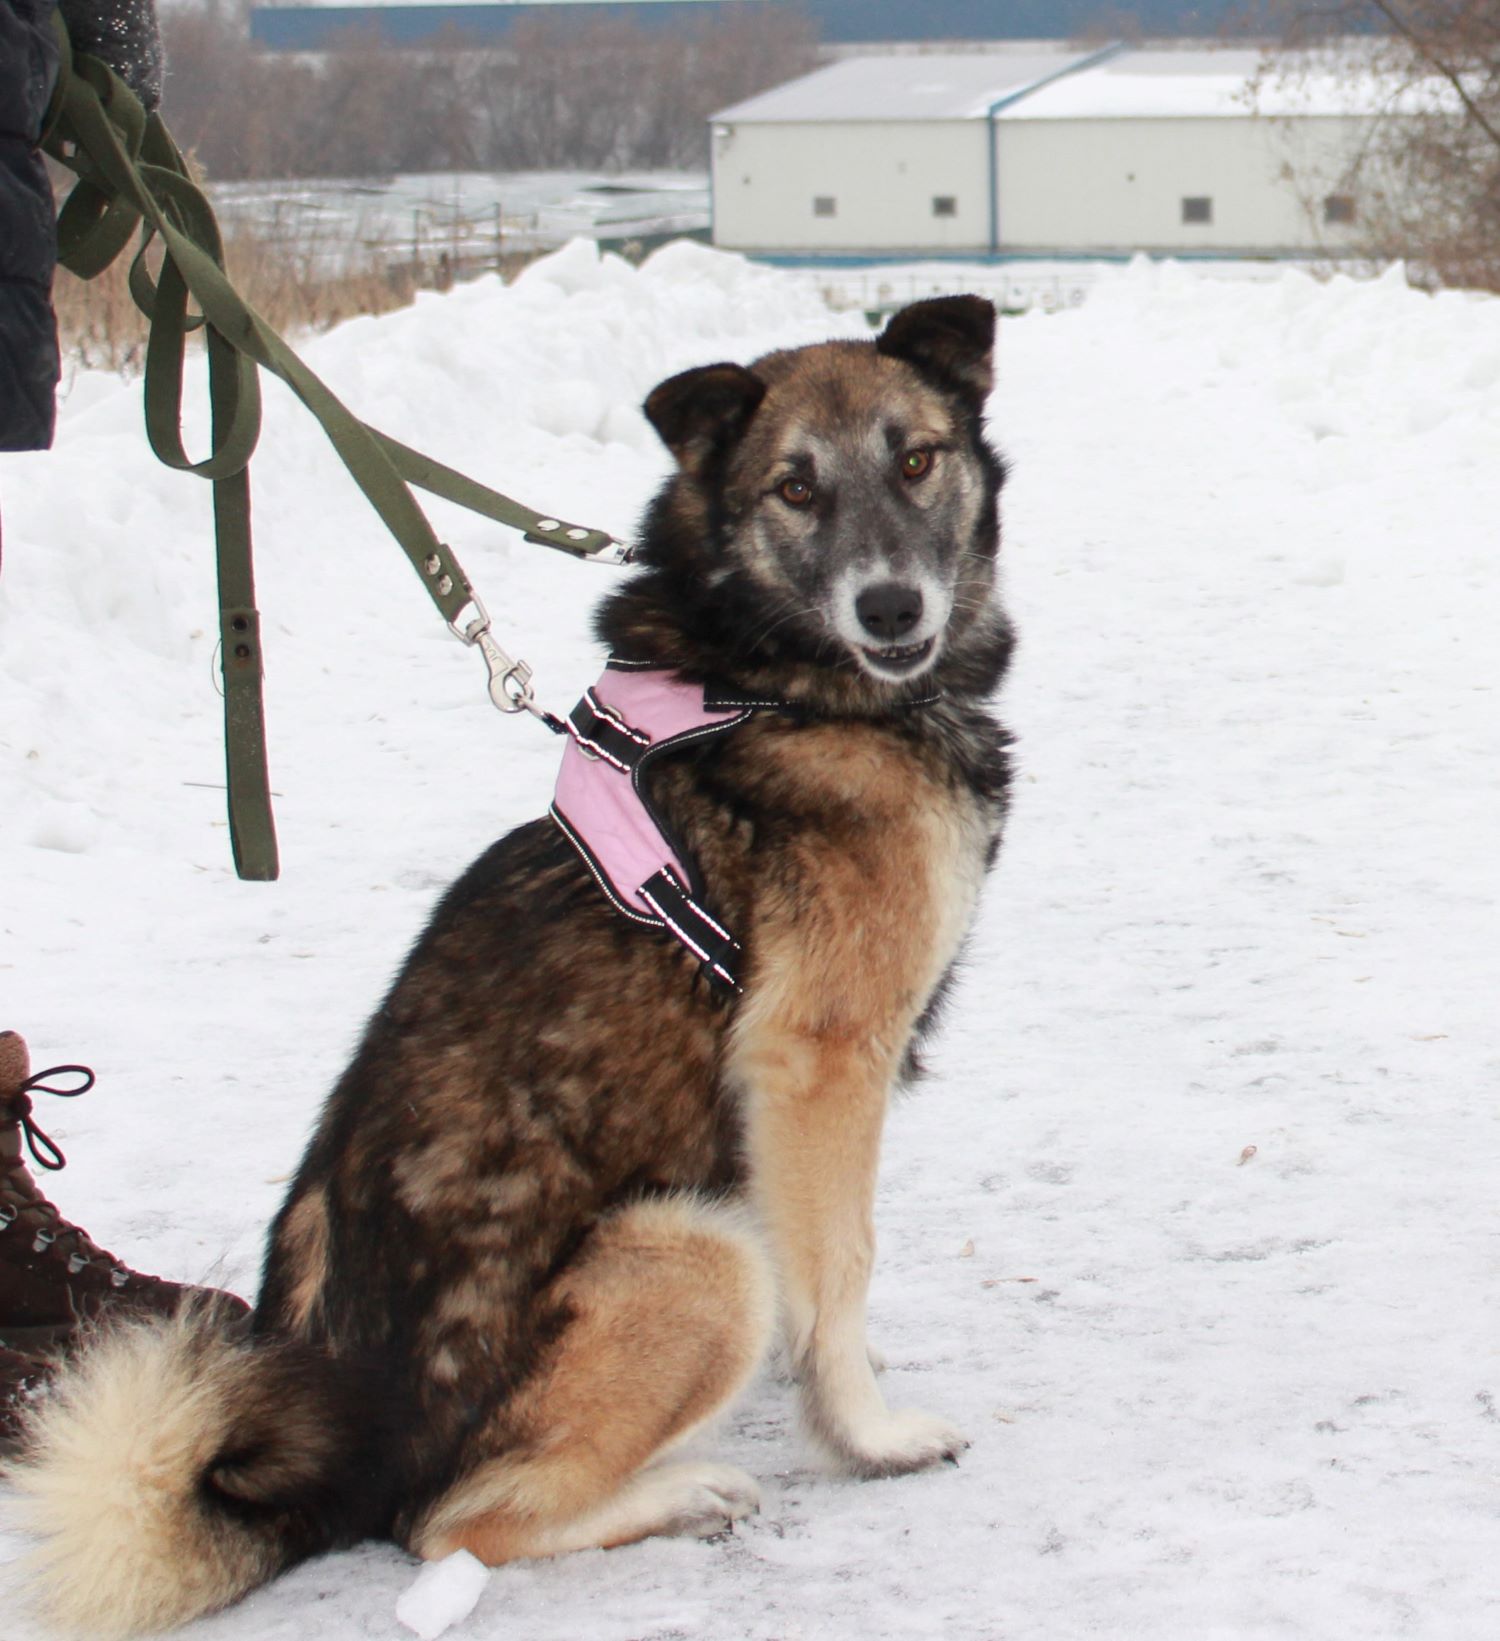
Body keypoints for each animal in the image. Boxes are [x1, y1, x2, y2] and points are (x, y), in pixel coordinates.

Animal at [5, 292, 1010, 1627]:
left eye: (917, 460)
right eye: (795, 487)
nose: (890, 608)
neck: (763, 674)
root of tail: (332, 1470)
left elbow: (827, 1268)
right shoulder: (818, 1060)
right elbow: (841, 1258)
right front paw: (864, 1432)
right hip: (696, 1251)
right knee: (455, 1525)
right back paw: (678, 1492)